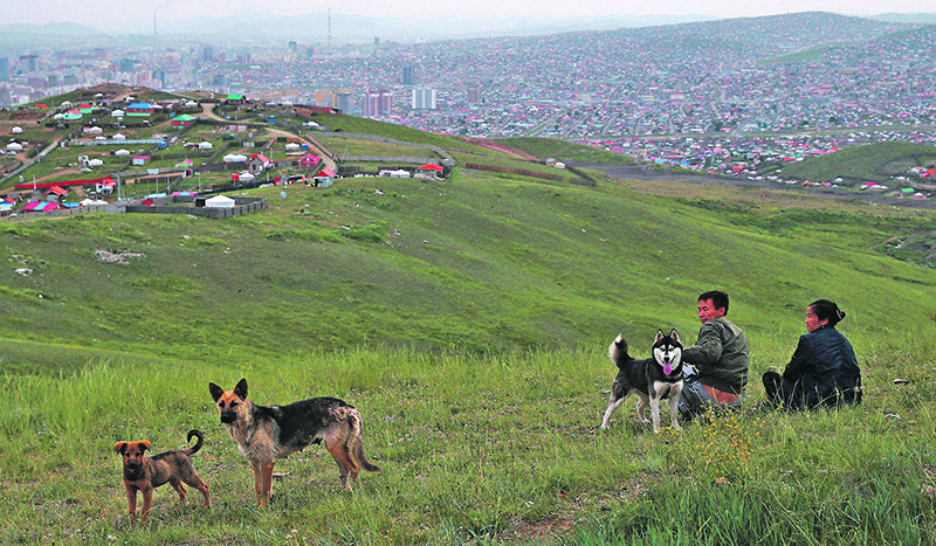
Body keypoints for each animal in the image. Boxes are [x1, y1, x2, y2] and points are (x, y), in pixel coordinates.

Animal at [209, 376, 380, 504]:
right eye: (221, 404)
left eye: (234, 404)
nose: (223, 418)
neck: (250, 424)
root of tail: (348, 406)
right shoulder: (256, 465)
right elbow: (258, 488)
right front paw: (258, 507)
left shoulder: (267, 464)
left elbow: (265, 489)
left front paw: (264, 509)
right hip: (336, 451)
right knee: (344, 471)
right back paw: (341, 492)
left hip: (337, 449)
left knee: (354, 468)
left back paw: (349, 492)